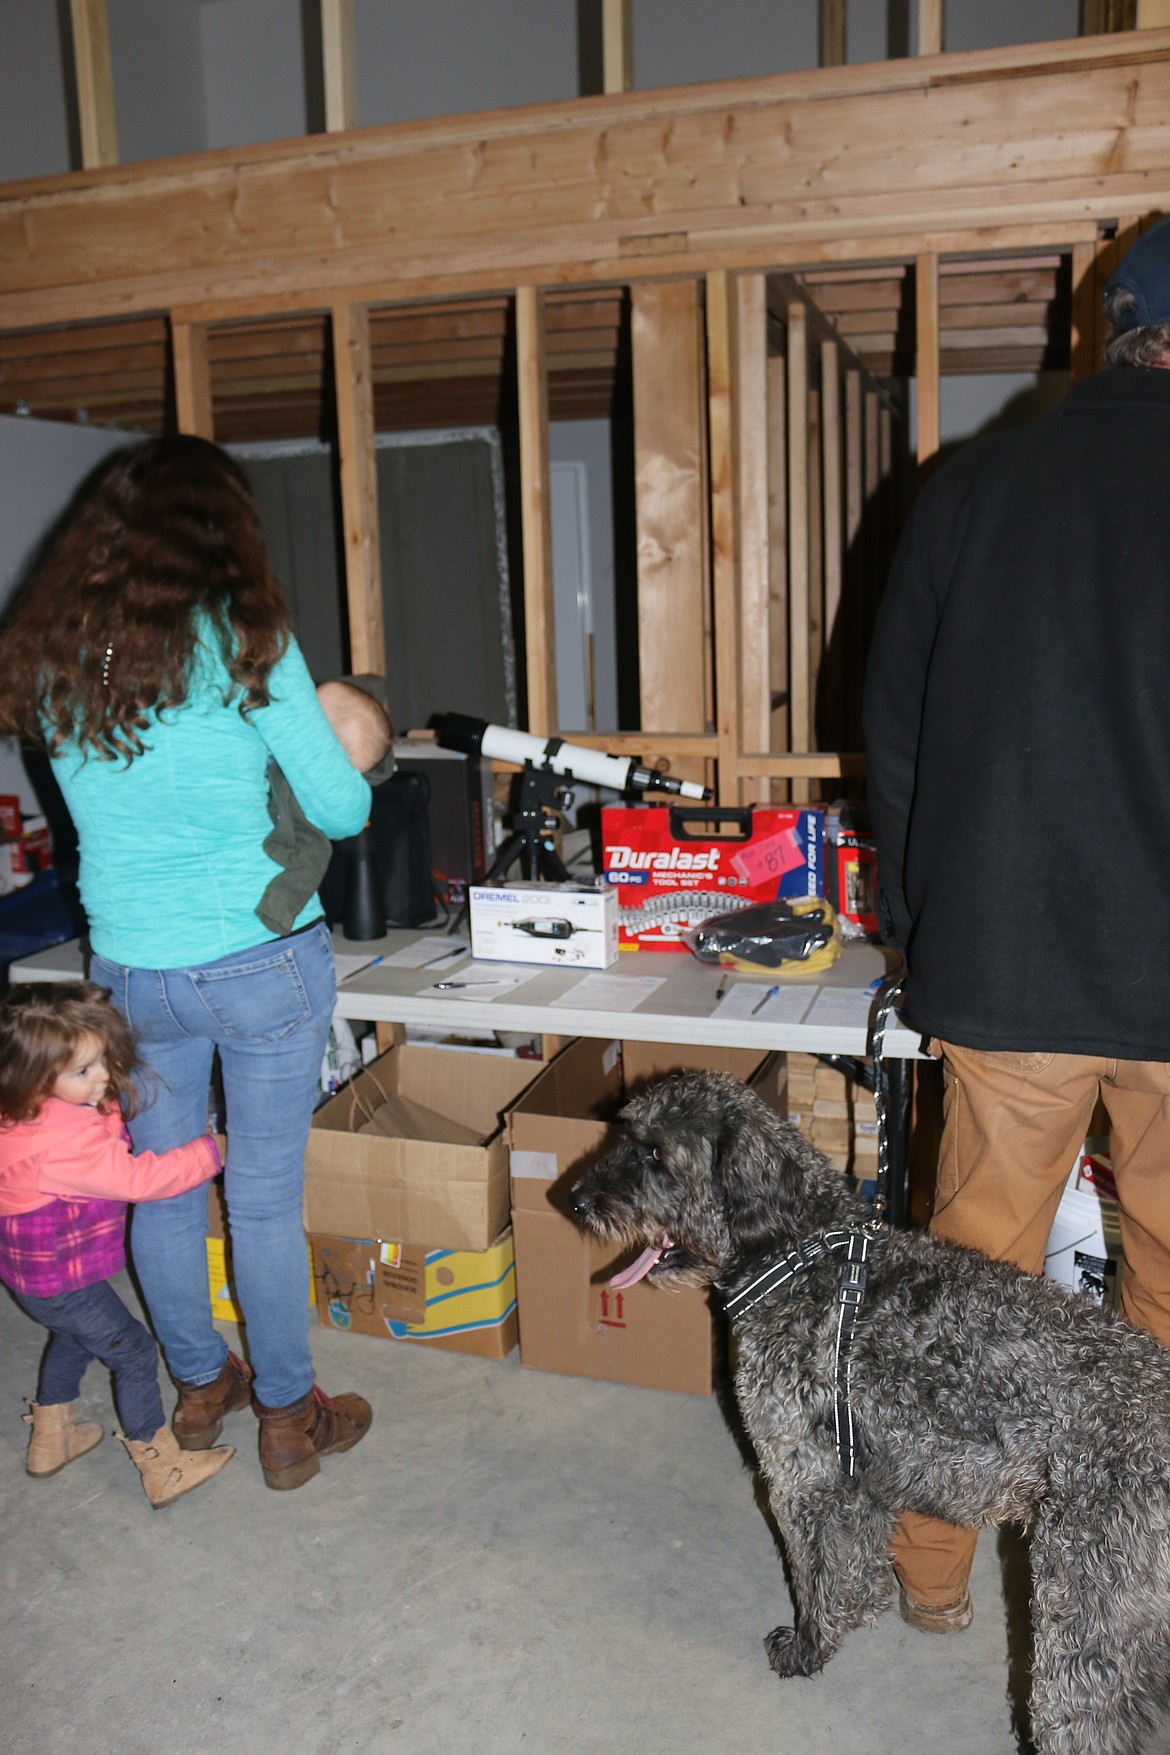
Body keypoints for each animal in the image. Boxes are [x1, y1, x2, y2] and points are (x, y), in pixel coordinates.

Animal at [571, 1067, 1170, 1755]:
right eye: (626, 1136)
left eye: (655, 1154)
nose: (577, 1200)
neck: (801, 1256)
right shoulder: (858, 1476)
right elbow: (853, 1568)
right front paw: (850, 1617)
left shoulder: (800, 1476)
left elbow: (813, 1574)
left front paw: (807, 1648)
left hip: (1088, 1607)